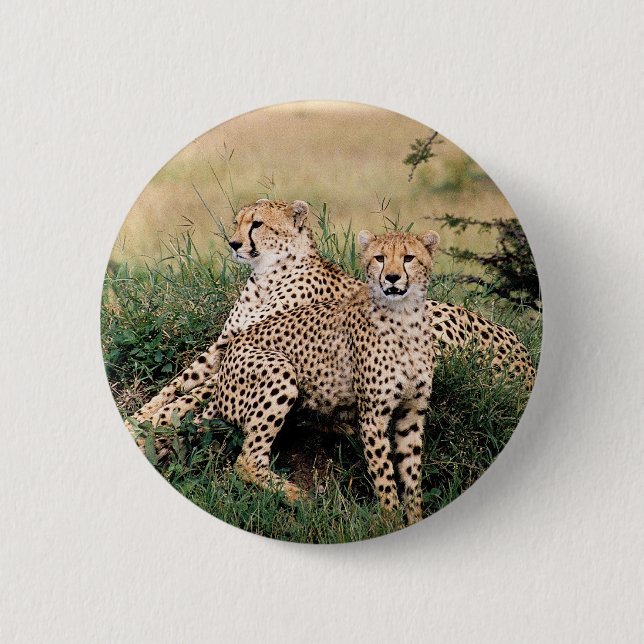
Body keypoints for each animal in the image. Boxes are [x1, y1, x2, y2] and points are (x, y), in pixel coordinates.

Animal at [197, 229, 441, 525]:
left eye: (409, 258)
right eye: (380, 258)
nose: (392, 278)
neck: (404, 315)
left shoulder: (412, 412)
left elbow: (411, 474)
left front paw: (414, 519)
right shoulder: (373, 415)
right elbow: (384, 474)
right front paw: (390, 520)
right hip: (280, 369)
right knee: (247, 460)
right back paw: (297, 496)